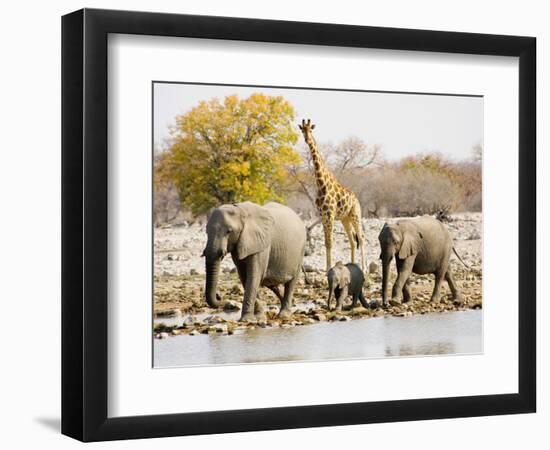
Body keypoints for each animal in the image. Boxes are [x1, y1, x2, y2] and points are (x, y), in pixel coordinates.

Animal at [302, 118, 366, 272]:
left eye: (311, 129)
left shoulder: (330, 215)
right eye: (302, 130)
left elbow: (330, 242)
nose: (307, 139)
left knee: (361, 238)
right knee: (352, 240)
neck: (321, 185)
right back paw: (353, 265)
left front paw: (328, 268)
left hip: (355, 215)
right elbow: (326, 242)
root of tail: (357, 199)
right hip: (345, 219)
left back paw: (364, 268)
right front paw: (327, 268)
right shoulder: (323, 216)